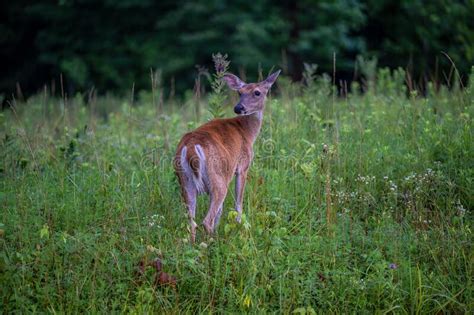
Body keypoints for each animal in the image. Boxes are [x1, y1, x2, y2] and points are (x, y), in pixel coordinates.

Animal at [174, 69, 280, 242]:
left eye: (257, 92)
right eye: (240, 92)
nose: (238, 107)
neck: (247, 132)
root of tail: (190, 148)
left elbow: (221, 210)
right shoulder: (242, 166)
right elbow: (238, 202)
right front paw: (239, 225)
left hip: (185, 180)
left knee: (192, 220)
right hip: (218, 178)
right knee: (206, 220)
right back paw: (214, 242)